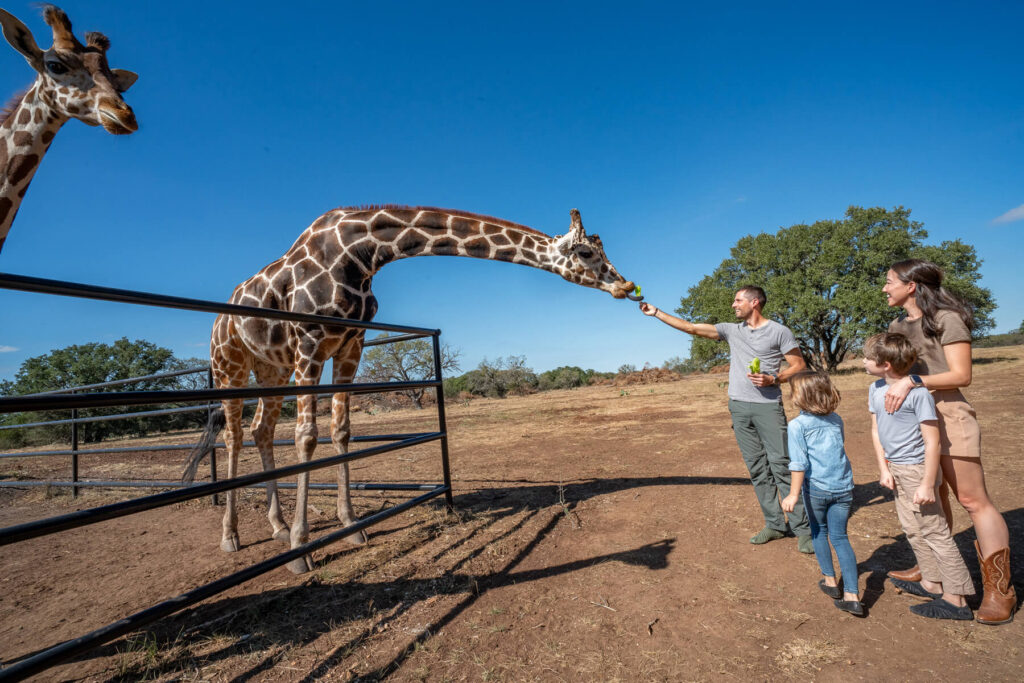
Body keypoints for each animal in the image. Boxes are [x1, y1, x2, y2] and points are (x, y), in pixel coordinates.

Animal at [184, 206, 637, 573]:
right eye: (586, 253)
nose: (625, 286)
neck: (362, 253)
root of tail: (219, 318)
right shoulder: (311, 344)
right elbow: (307, 437)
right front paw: (301, 550)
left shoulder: (351, 344)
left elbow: (342, 432)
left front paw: (351, 526)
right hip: (229, 364)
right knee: (233, 435)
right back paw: (232, 536)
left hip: (271, 368)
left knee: (260, 430)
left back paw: (276, 526)